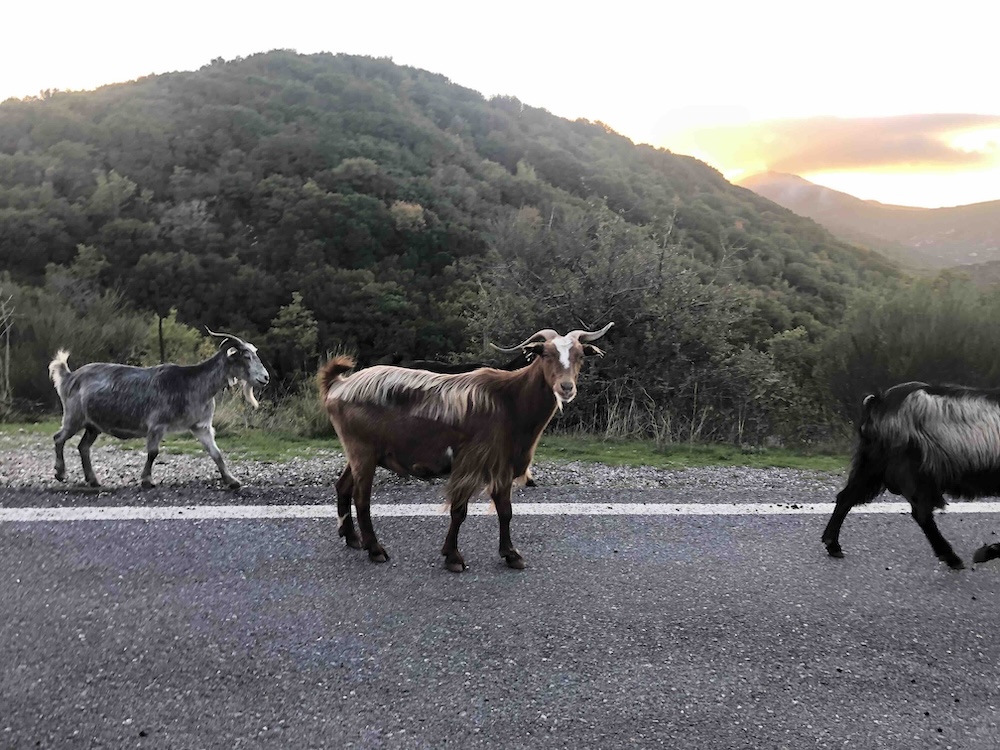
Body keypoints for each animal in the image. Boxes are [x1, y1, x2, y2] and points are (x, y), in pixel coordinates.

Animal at [49, 329, 269, 490]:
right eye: (246, 356)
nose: (265, 378)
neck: (195, 385)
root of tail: (70, 377)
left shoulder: (201, 426)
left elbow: (216, 453)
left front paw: (232, 480)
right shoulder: (157, 424)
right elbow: (153, 452)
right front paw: (147, 480)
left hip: (93, 425)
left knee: (83, 447)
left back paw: (93, 480)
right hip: (74, 416)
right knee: (59, 438)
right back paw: (60, 473)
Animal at [317, 323, 613, 572]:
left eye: (580, 356)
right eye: (546, 354)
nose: (566, 387)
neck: (509, 402)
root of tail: (338, 385)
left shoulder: (502, 464)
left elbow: (505, 510)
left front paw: (511, 554)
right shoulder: (470, 461)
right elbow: (459, 511)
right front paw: (453, 557)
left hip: (359, 452)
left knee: (343, 486)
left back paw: (352, 538)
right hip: (362, 451)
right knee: (361, 498)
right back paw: (375, 549)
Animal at [822, 381, 1000, 569]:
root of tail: (878, 402)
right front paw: (987, 552)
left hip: (872, 465)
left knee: (846, 497)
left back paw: (833, 545)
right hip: (911, 471)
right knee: (921, 514)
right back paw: (951, 557)